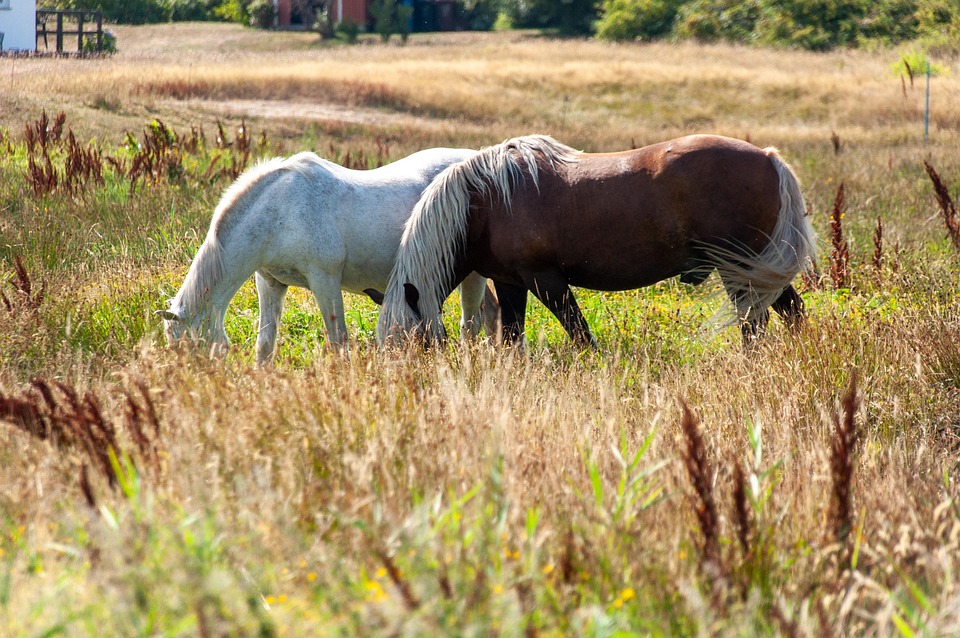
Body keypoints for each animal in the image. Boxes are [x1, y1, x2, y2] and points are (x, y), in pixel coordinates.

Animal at [159, 148, 498, 364]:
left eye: (192, 348)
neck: (280, 211)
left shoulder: (325, 281)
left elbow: (338, 341)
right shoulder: (269, 282)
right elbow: (265, 344)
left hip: (471, 274)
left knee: (471, 325)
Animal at [376, 134, 816, 349]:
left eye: (413, 342)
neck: (484, 201)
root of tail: (768, 157)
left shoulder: (546, 280)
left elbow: (580, 334)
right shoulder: (510, 282)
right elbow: (512, 337)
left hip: (739, 268)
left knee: (755, 323)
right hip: (755, 269)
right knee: (790, 314)